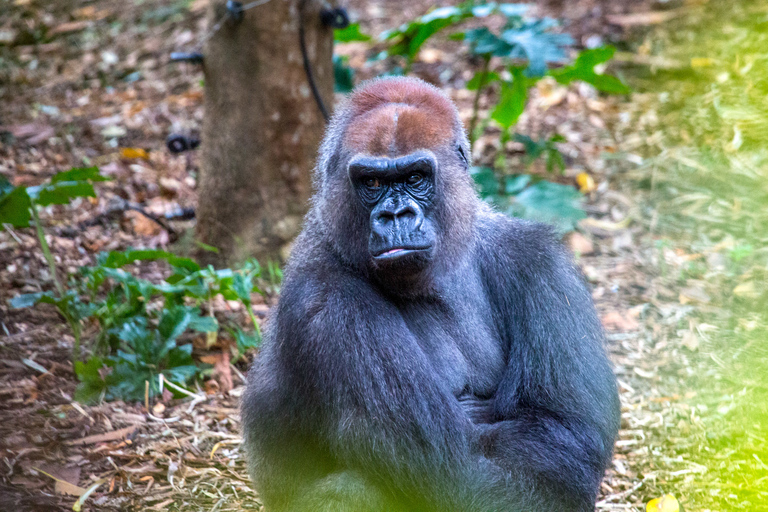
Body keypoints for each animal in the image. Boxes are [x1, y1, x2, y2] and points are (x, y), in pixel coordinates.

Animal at [243, 76, 620, 512]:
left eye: (414, 177)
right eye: (372, 182)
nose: (395, 215)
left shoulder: (538, 260)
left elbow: (564, 428)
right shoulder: (325, 303)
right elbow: (464, 462)